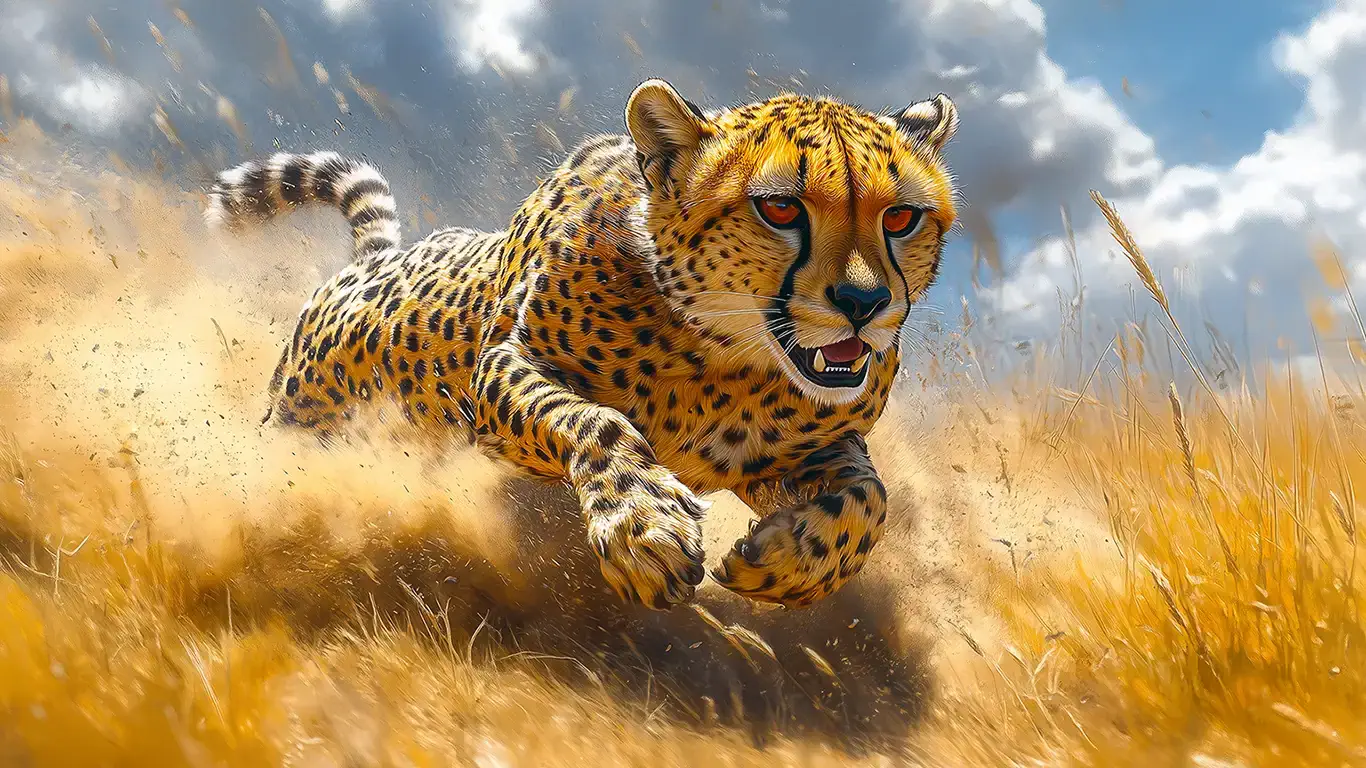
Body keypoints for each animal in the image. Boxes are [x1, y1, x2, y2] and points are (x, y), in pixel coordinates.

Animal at [205, 78, 960, 611]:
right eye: (779, 208)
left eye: (901, 217)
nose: (864, 305)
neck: (723, 357)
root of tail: (377, 259)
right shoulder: (505, 368)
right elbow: (594, 420)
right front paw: (643, 526)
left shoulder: (793, 452)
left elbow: (870, 497)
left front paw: (794, 560)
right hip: (301, 425)